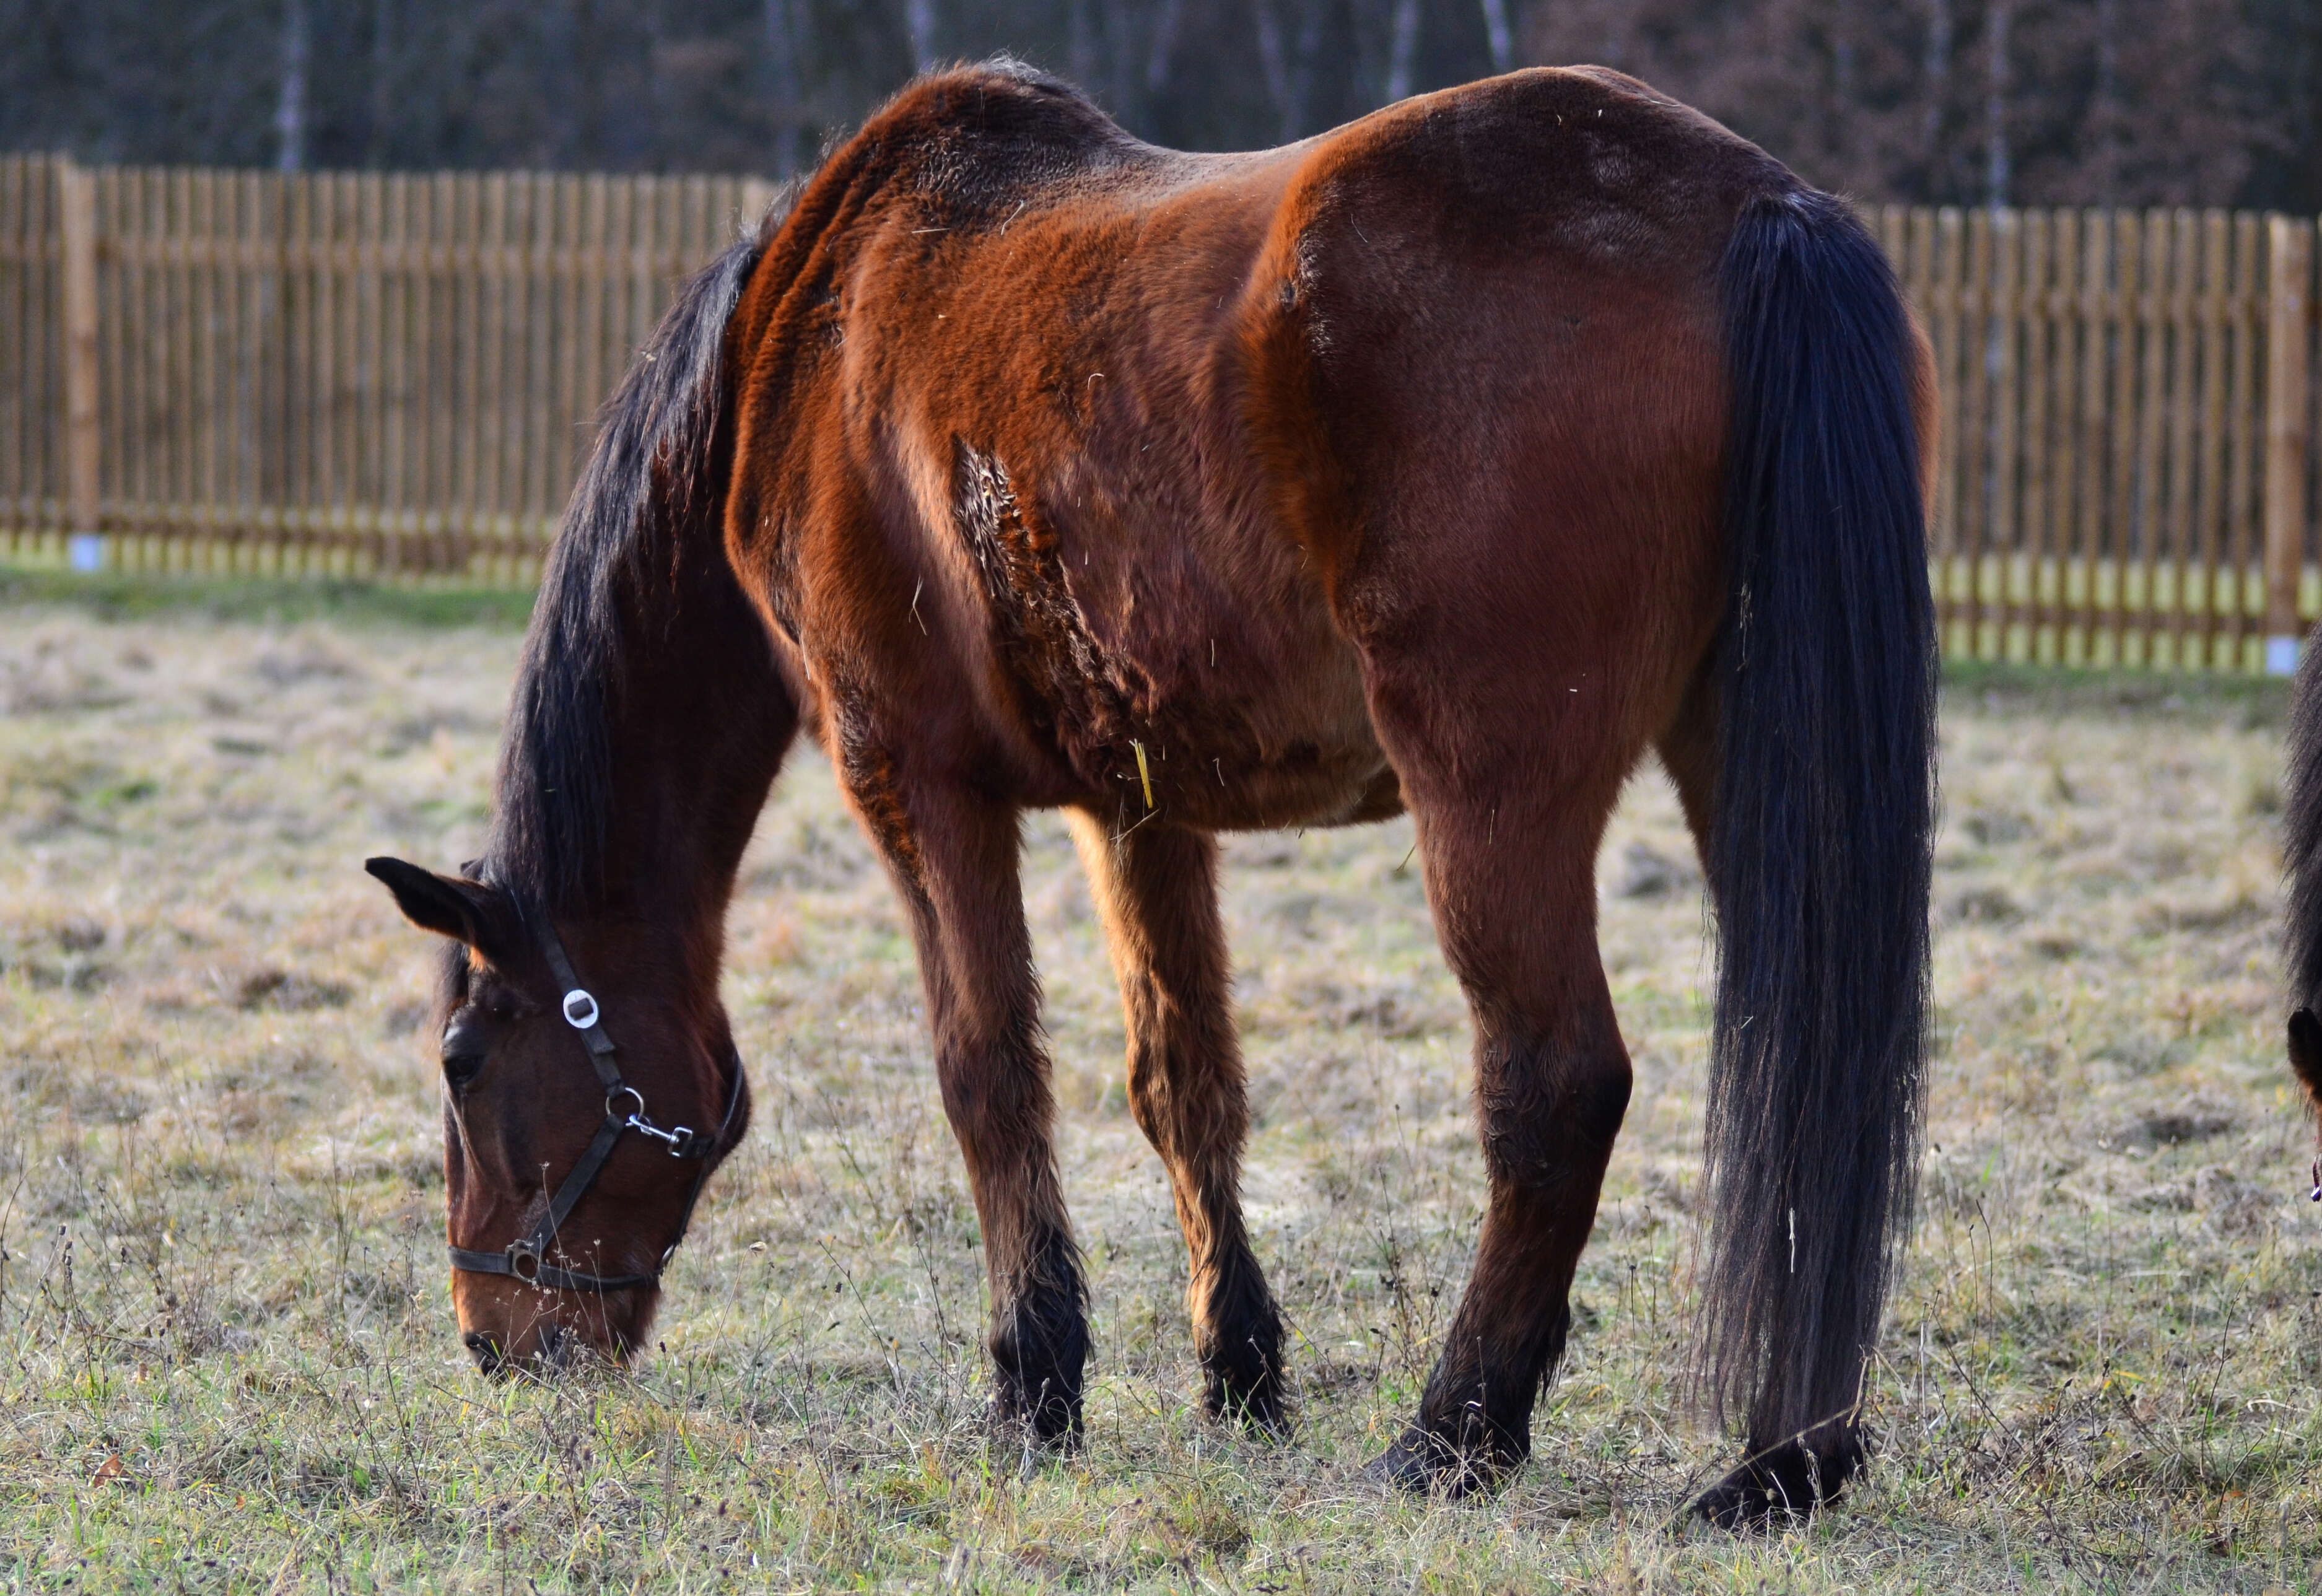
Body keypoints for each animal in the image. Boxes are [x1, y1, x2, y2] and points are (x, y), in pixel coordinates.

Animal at [366, 59, 1938, 1526]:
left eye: (465, 1058)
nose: (493, 1339)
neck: (811, 332)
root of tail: (1749, 206)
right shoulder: (1136, 806)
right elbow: (1183, 1084)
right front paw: (1236, 1374)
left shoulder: (916, 788)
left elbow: (986, 1071)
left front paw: (1033, 1383)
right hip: (1744, 764)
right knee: (1809, 1059)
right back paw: (1786, 1458)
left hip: (1493, 799)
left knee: (1556, 1084)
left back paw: (1456, 1430)